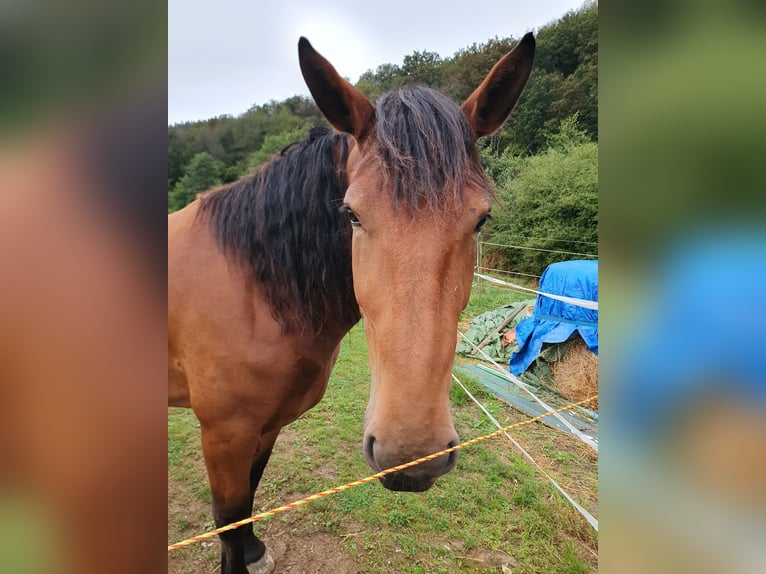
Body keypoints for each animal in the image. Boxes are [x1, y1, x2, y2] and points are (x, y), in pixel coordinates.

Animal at [171, 35, 536, 574]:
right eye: (352, 214)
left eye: (481, 219)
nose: (412, 454)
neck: (255, 290)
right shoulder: (225, 433)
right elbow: (229, 520)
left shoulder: (265, 426)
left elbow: (251, 498)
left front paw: (256, 550)